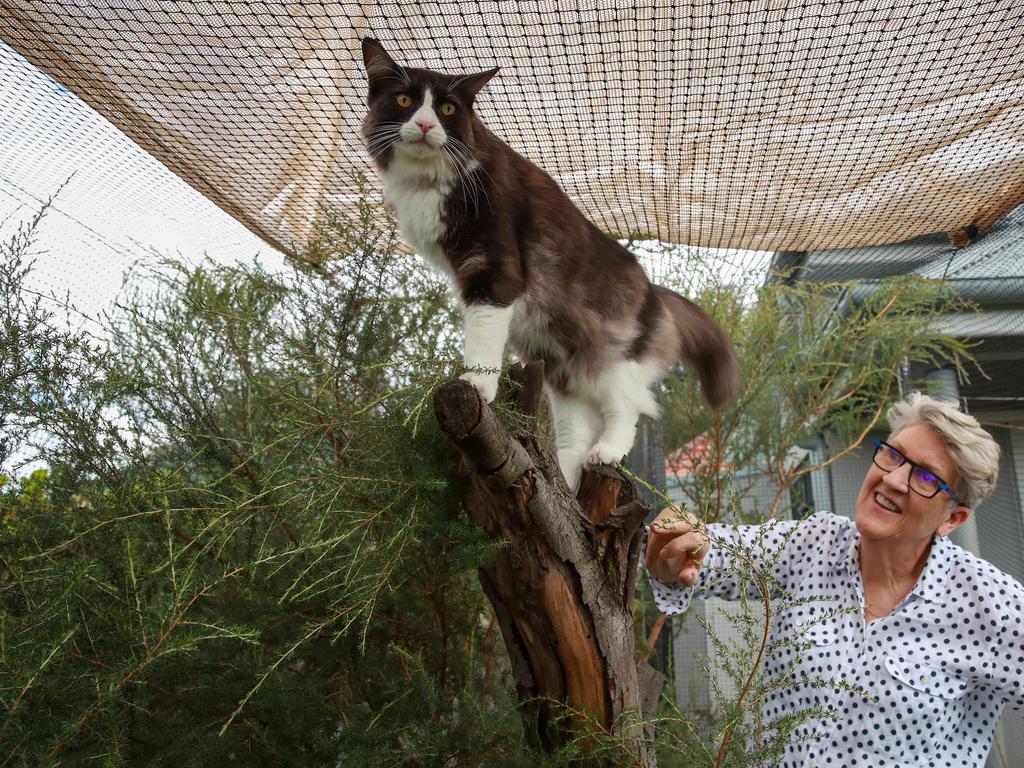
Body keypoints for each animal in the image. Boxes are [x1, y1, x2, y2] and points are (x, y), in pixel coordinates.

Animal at [360, 37, 737, 487]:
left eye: (448, 109)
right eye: (404, 100)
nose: (424, 125)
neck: (429, 183)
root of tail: (656, 293)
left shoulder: (494, 268)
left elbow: (483, 336)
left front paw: (477, 383)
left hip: (611, 360)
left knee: (628, 409)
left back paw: (606, 452)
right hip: (562, 371)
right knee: (575, 435)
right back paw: (567, 481)